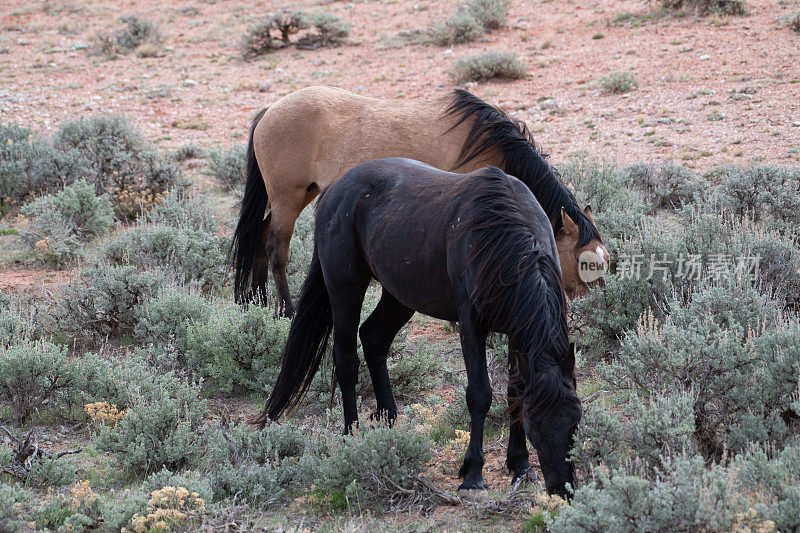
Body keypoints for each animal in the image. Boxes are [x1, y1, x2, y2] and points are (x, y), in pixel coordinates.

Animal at [231, 85, 608, 314]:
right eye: (586, 262)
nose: (598, 304)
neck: (486, 145)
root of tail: (270, 111)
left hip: (296, 196)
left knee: (260, 240)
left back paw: (259, 304)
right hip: (287, 198)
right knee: (276, 250)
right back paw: (287, 310)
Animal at [260, 157, 580, 494]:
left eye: (576, 421)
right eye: (537, 431)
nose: (563, 488)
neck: (504, 240)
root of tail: (334, 189)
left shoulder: (518, 332)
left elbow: (515, 390)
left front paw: (520, 466)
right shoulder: (471, 326)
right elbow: (480, 394)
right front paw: (473, 472)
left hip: (400, 296)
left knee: (373, 338)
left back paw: (388, 421)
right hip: (345, 288)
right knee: (345, 360)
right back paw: (352, 435)